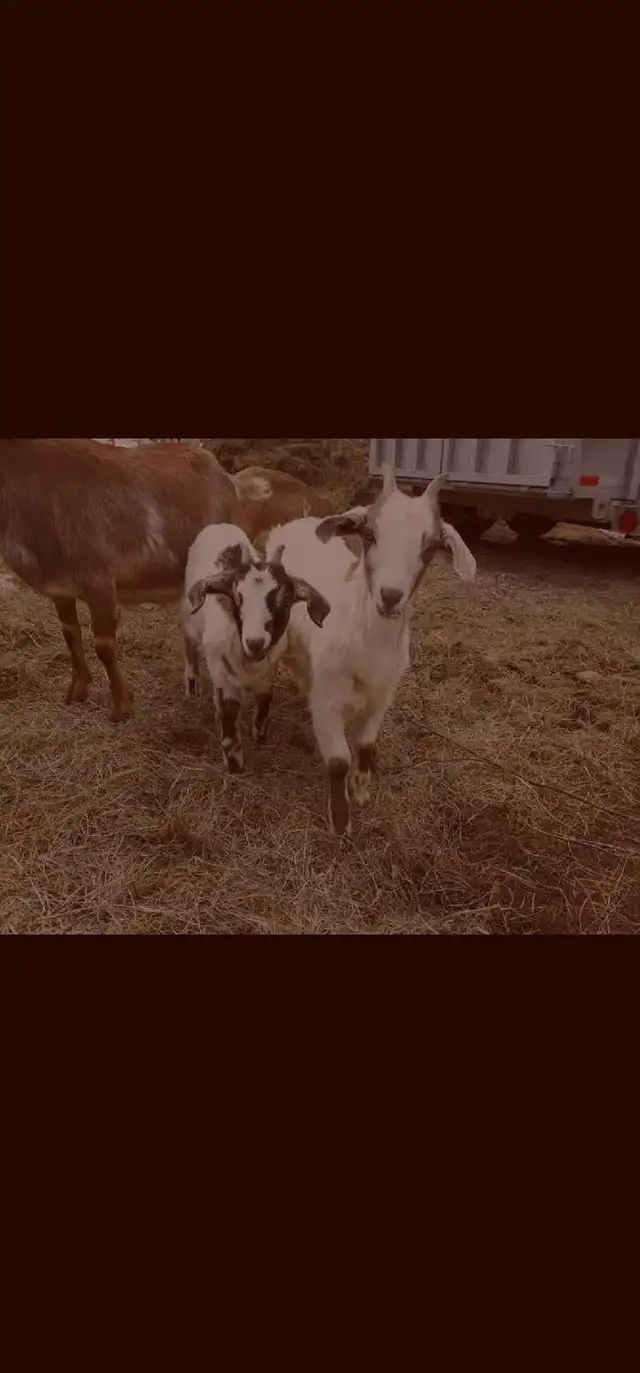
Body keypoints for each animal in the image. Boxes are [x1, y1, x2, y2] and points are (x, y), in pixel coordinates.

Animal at [182, 524, 330, 773]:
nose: (255, 642)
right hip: (190, 623)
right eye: (237, 597)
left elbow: (264, 697)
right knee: (190, 650)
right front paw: (234, 763)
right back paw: (192, 688)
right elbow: (230, 707)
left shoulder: (270, 667)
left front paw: (259, 735)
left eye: (286, 599)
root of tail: (218, 525)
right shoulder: (221, 669)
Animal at [265, 465, 477, 836]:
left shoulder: (381, 696)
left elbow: (366, 746)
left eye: (430, 546)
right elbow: (338, 760)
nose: (390, 596)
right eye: (370, 535)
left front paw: (361, 791)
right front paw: (340, 821)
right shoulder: (330, 699)